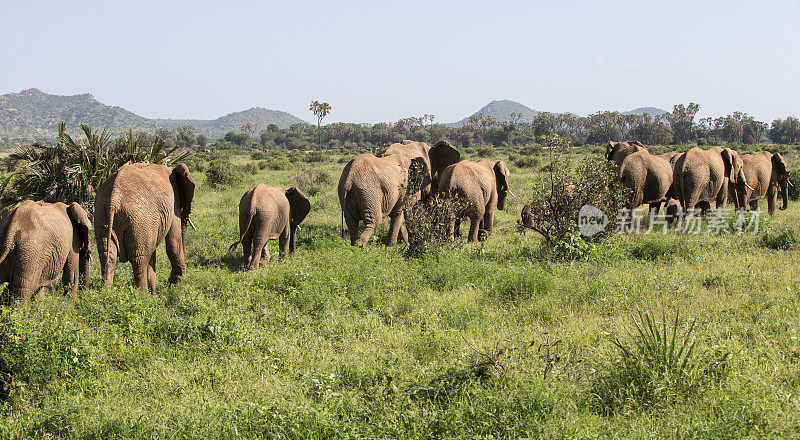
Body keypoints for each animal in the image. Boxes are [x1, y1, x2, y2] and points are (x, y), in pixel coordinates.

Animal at [92, 162, 194, 292]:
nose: (168, 281)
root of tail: (113, 199)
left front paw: (158, 292)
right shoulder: (174, 202)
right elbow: (174, 245)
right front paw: (174, 287)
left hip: (102, 217)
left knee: (108, 257)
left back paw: (106, 293)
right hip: (139, 220)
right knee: (139, 260)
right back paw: (142, 295)